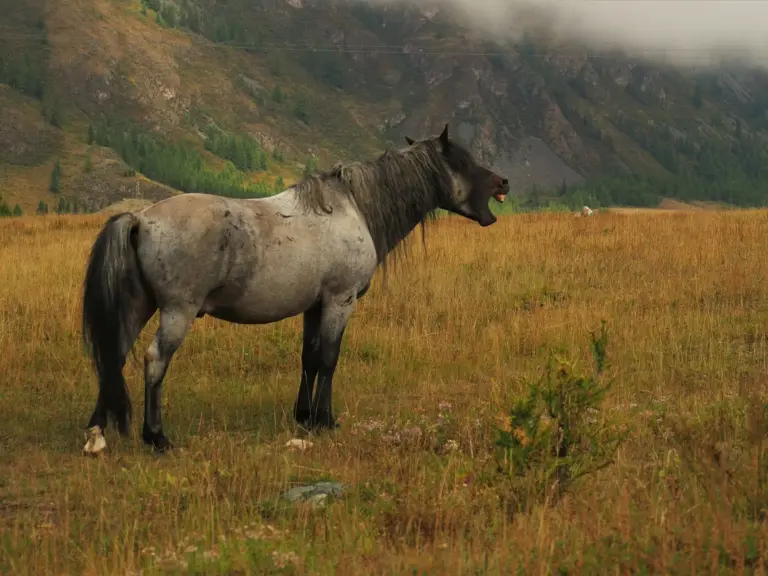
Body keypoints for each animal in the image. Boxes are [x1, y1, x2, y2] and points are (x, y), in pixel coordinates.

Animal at [80, 124, 510, 455]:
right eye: (463, 162)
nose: (503, 181)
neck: (353, 209)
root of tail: (140, 219)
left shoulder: (313, 306)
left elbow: (309, 358)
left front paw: (303, 417)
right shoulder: (339, 301)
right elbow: (329, 359)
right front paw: (324, 420)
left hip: (139, 307)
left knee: (113, 356)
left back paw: (97, 433)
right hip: (176, 311)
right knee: (154, 361)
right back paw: (156, 437)